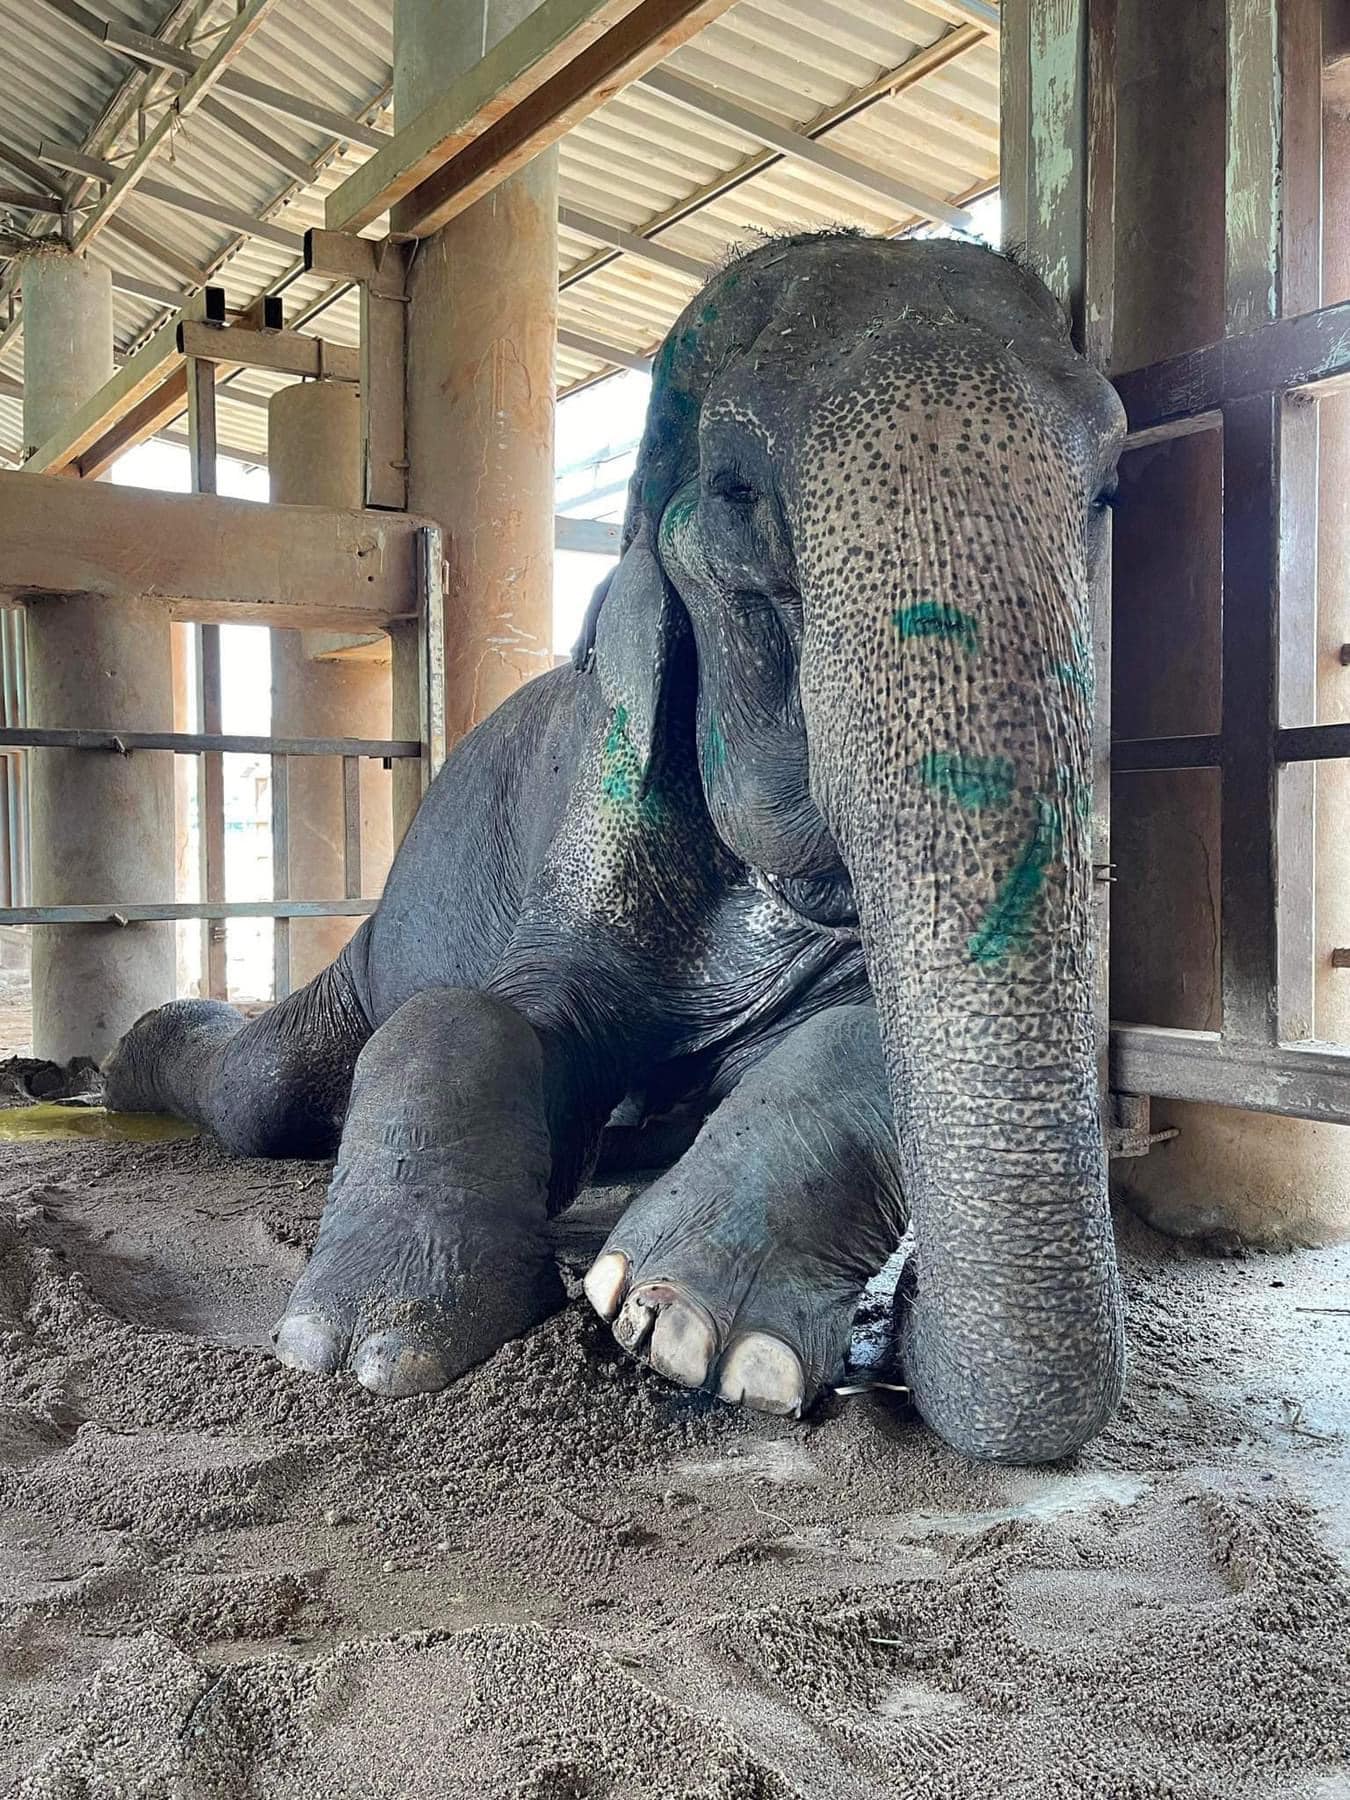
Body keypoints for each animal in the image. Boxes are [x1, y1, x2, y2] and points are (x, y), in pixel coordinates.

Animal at [104, 230, 1128, 1465]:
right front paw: (368, 1346)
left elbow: (865, 1033)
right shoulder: (603, 787)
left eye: (1109, 485)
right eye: (736, 492)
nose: (906, 1337)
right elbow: (479, 1012)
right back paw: (115, 1067)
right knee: (261, 1090)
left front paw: (690, 1333)